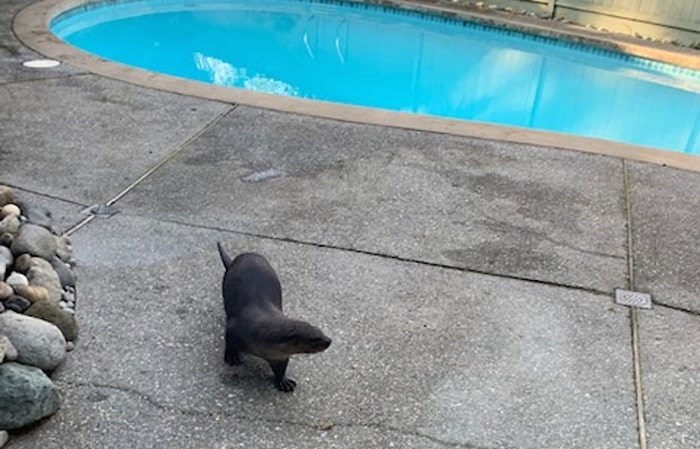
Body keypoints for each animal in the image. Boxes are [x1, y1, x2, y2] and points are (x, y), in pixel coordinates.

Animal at [216, 242, 330, 392]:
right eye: (314, 339)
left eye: (320, 330)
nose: (329, 340)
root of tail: (236, 259)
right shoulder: (234, 329)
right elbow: (229, 342)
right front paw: (231, 357)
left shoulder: (280, 356)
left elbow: (281, 369)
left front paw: (283, 382)